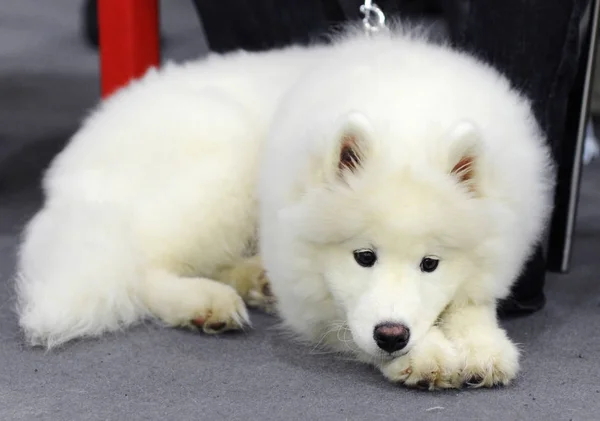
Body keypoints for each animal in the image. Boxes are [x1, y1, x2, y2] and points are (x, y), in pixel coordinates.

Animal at [14, 24, 556, 388]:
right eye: (364, 257)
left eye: (431, 263)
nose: (392, 336)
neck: (406, 111)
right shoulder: (314, 300)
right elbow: (347, 322)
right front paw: (426, 357)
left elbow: (468, 301)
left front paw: (483, 347)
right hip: (221, 164)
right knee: (143, 266)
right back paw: (204, 302)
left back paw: (253, 280)